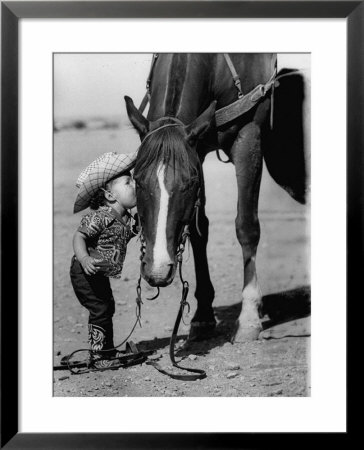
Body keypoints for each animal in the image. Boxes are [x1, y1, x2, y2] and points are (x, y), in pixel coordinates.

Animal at [124, 53, 308, 342]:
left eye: (189, 183)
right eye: (137, 179)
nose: (158, 270)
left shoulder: (249, 137)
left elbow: (246, 227)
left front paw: (249, 318)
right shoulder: (197, 148)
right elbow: (199, 230)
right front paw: (202, 316)